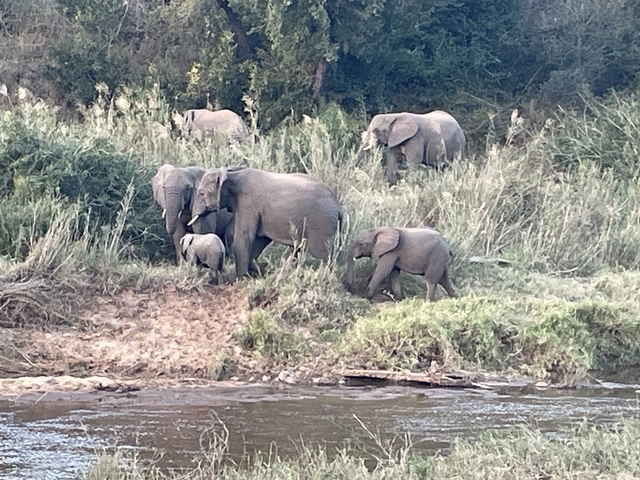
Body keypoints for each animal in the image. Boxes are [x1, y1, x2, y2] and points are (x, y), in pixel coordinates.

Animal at [189, 167, 343, 278]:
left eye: (202, 193)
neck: (232, 173)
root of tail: (338, 206)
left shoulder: (248, 204)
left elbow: (244, 237)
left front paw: (240, 279)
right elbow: (260, 238)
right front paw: (258, 269)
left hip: (321, 224)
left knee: (323, 255)